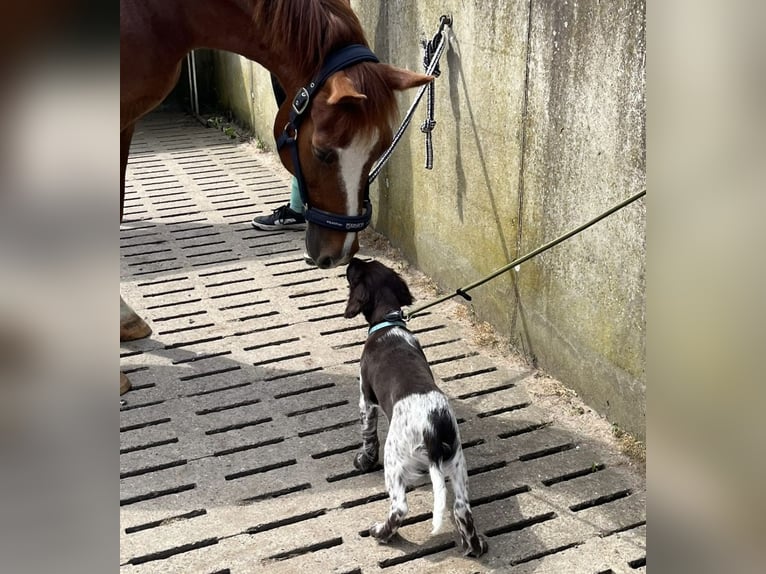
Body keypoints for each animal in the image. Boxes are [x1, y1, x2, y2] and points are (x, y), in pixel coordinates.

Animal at [344, 258, 488, 560]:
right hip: (457, 461)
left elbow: (368, 436)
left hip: (395, 459)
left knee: (399, 508)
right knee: (462, 509)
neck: (389, 322)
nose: (352, 260)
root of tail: (432, 426)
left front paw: (363, 461)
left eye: (358, 270)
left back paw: (381, 533)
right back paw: (474, 546)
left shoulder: (366, 400)